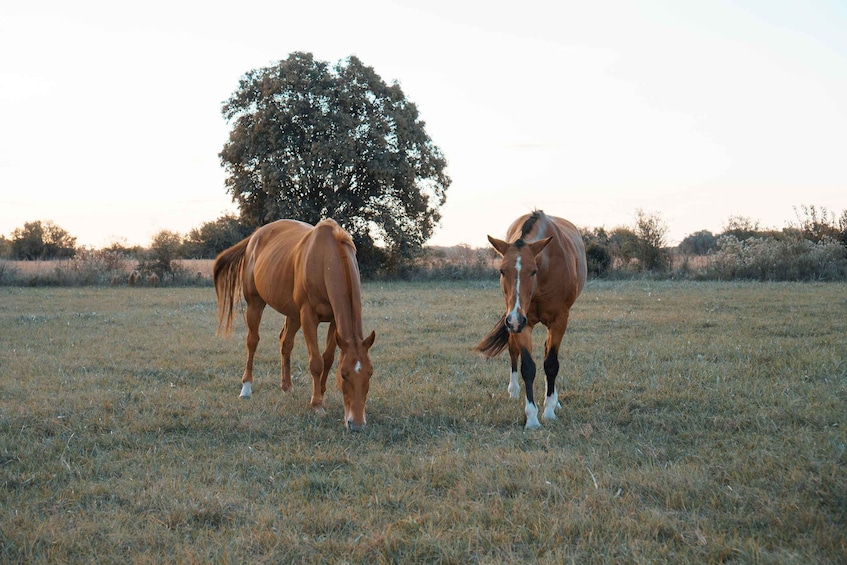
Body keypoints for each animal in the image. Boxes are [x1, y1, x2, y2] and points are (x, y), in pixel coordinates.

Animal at [213, 219, 376, 431]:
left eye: (370, 374)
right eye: (344, 374)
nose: (356, 424)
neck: (325, 258)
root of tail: (255, 236)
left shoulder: (334, 321)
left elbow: (328, 358)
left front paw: (321, 394)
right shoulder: (308, 317)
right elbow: (316, 362)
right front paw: (316, 404)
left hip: (293, 315)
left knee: (285, 342)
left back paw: (286, 386)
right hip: (255, 304)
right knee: (252, 341)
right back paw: (246, 388)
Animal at [475, 210, 587, 428]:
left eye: (533, 271)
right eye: (502, 270)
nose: (514, 320)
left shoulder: (559, 320)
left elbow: (551, 364)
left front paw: (549, 411)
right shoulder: (521, 323)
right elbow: (527, 367)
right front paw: (532, 418)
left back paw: (553, 400)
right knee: (513, 350)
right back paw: (514, 390)